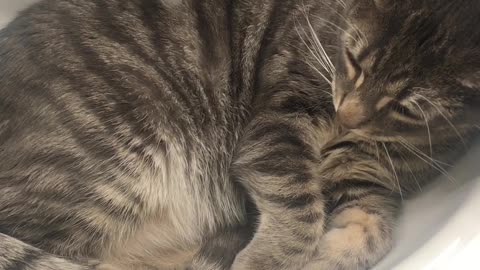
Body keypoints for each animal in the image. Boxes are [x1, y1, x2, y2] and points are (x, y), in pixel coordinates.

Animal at [0, 0, 480, 268]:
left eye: (407, 107)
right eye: (352, 59)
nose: (345, 115)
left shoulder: (363, 178)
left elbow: (372, 230)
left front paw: (326, 257)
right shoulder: (274, 127)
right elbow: (300, 210)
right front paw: (266, 261)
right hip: (103, 168)